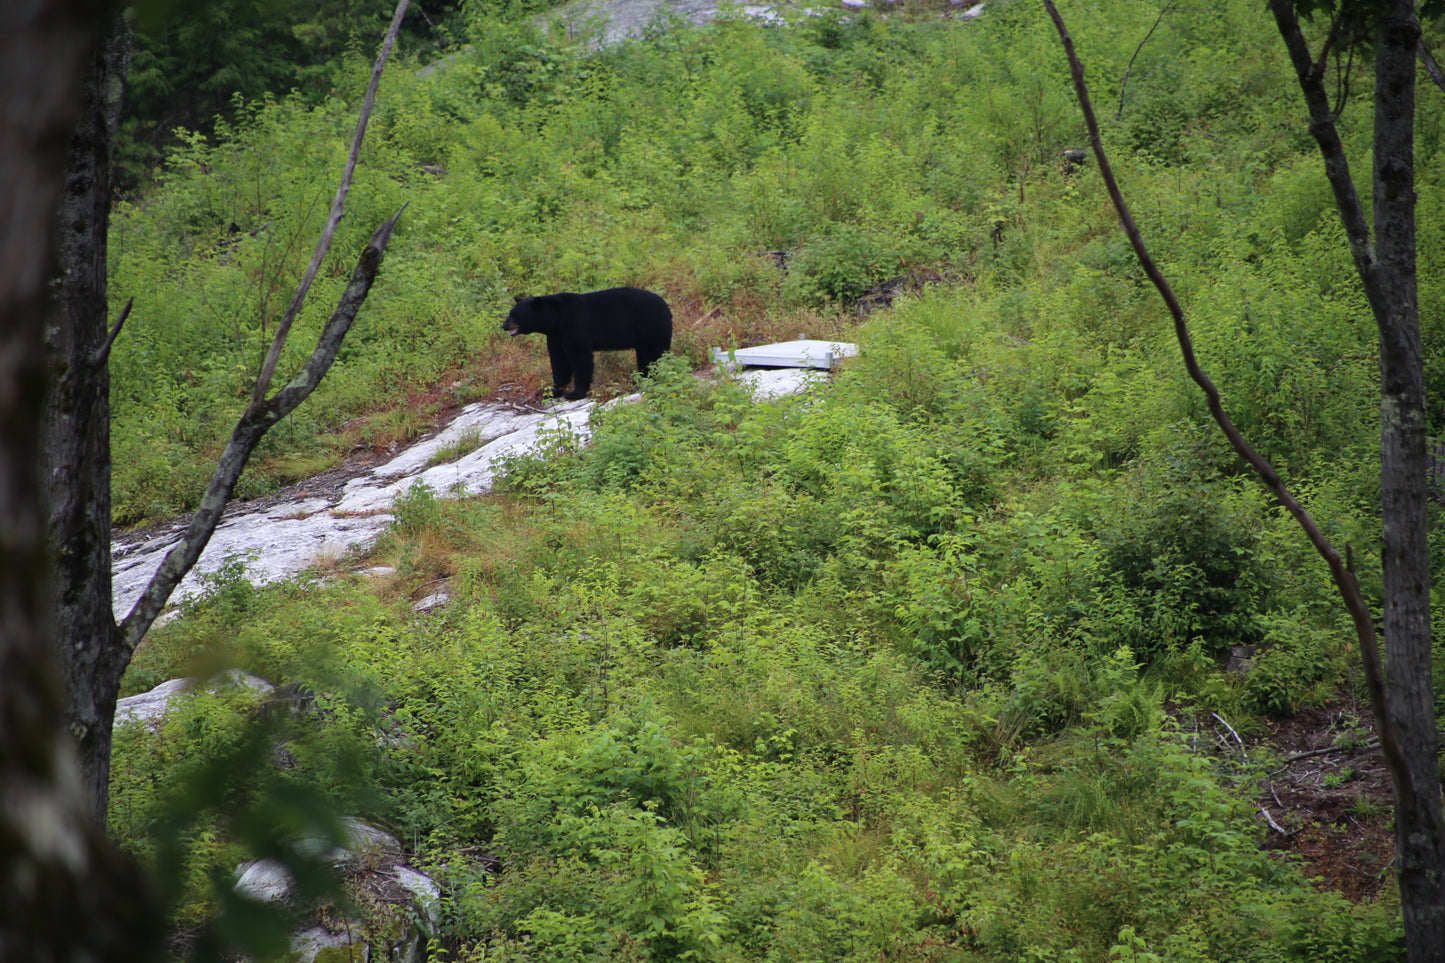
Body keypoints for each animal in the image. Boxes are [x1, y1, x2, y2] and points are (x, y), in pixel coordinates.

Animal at [502, 286, 673, 400]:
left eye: (514, 314)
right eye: (510, 313)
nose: (503, 325)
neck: (557, 319)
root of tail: (666, 305)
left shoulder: (575, 327)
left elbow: (580, 357)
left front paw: (575, 393)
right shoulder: (556, 335)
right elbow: (559, 360)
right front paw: (553, 391)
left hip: (651, 326)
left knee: (655, 354)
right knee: (644, 355)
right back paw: (640, 379)